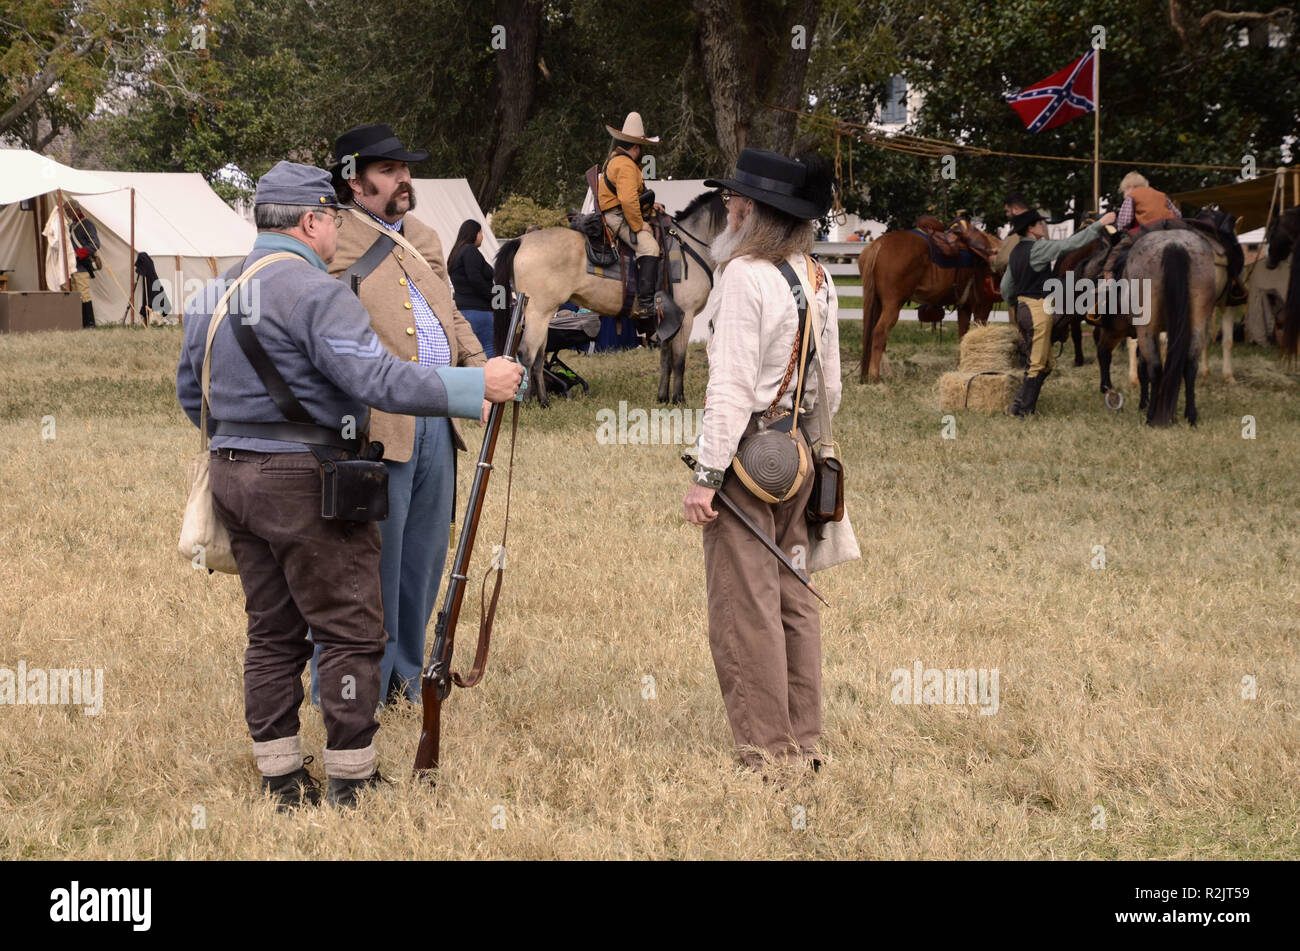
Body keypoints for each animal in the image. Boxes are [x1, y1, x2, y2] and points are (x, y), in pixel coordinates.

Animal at [491, 190, 728, 402]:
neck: (690, 246)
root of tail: (522, 240)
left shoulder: (669, 321)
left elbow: (666, 360)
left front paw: (663, 398)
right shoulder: (685, 316)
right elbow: (679, 360)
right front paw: (679, 400)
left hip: (540, 315)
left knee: (539, 357)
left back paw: (541, 400)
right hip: (538, 312)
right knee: (527, 354)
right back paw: (527, 400)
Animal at [857, 219, 998, 381]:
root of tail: (878, 245)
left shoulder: (965, 307)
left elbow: (963, 336)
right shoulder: (983, 305)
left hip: (877, 303)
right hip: (892, 305)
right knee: (880, 332)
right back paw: (875, 377)